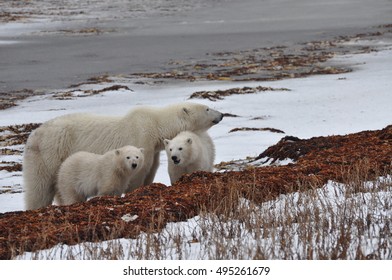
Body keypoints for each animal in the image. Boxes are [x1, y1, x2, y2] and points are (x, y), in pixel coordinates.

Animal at [23, 101, 222, 209]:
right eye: (207, 108)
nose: (221, 115)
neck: (156, 125)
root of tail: (33, 135)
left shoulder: (152, 150)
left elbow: (150, 171)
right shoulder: (141, 138)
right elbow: (136, 175)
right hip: (49, 153)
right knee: (39, 186)